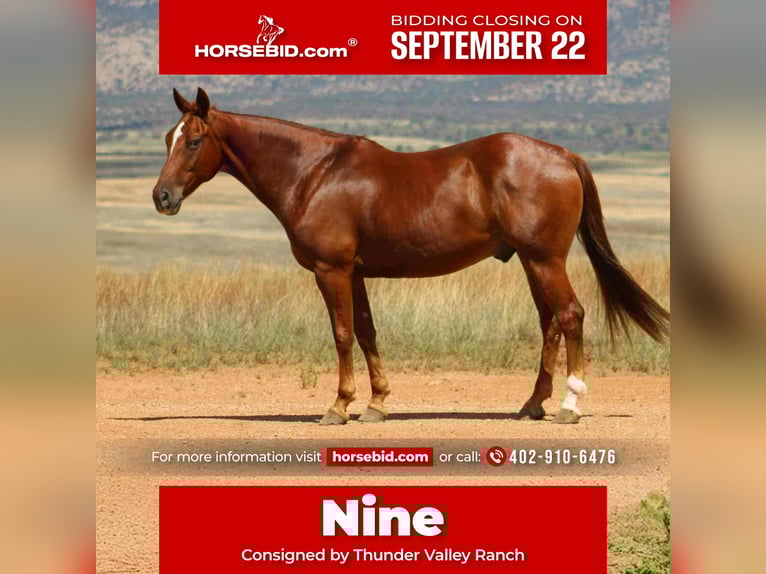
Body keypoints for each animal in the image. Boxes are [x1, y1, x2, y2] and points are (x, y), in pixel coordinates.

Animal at [152, 88, 669, 425]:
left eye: (194, 140)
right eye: (166, 139)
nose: (162, 197)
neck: (314, 174)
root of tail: (563, 154)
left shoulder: (331, 271)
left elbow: (342, 335)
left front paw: (339, 407)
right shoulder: (355, 274)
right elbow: (366, 332)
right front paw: (377, 404)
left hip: (545, 260)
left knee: (570, 315)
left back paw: (568, 405)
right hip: (532, 261)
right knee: (550, 323)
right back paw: (532, 405)